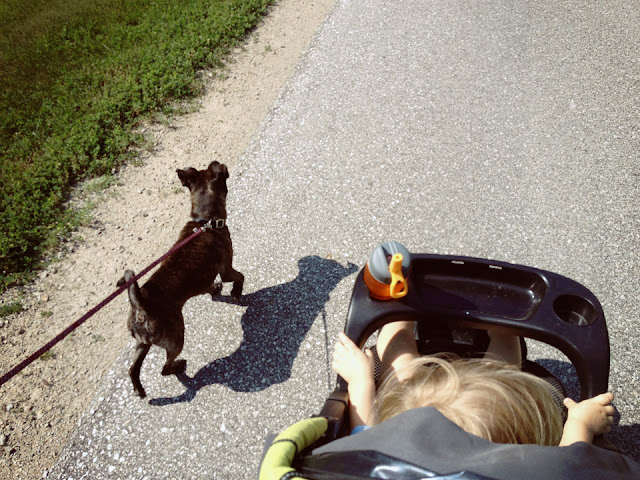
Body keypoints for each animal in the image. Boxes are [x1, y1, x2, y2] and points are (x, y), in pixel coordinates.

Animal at [117, 161, 244, 398]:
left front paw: (217, 290)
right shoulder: (226, 269)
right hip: (176, 338)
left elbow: (209, 287)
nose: (218, 162)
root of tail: (141, 306)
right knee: (164, 368)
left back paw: (139, 390)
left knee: (133, 369)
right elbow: (240, 276)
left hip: (143, 344)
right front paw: (236, 292)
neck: (205, 222)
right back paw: (178, 367)